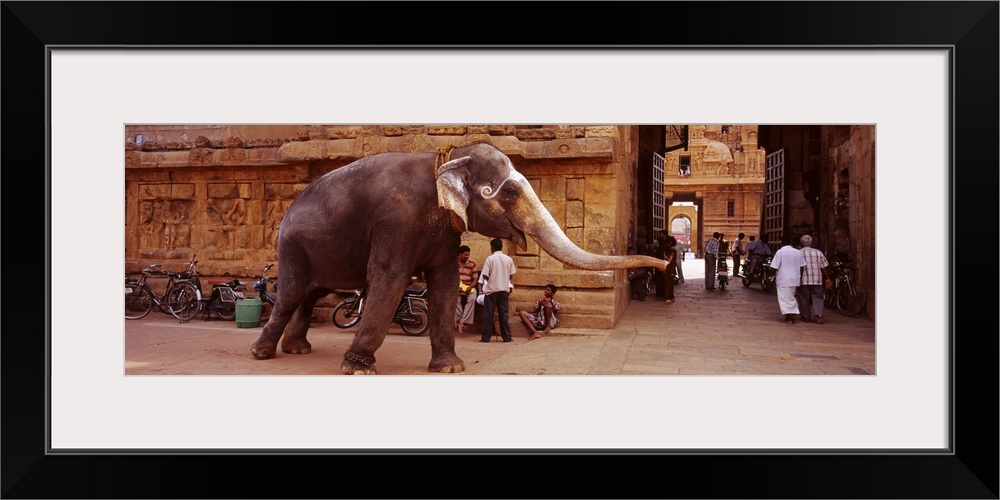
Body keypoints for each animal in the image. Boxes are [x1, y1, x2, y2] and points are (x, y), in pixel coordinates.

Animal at [250, 143, 672, 374]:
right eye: (509, 192)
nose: (667, 265)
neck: (446, 159)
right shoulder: (395, 221)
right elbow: (390, 280)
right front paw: (356, 370)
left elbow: (445, 282)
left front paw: (450, 367)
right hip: (291, 247)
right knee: (290, 294)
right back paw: (261, 354)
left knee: (310, 295)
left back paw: (297, 349)